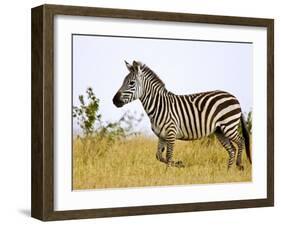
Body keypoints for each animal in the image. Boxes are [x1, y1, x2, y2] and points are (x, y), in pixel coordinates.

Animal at [112, 60, 250, 170]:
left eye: (131, 83)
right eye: (123, 82)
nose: (114, 100)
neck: (159, 106)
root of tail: (234, 97)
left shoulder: (171, 133)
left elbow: (168, 156)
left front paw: (167, 174)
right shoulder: (161, 136)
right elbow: (159, 156)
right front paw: (179, 164)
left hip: (229, 125)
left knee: (241, 141)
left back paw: (239, 165)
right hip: (220, 131)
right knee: (232, 150)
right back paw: (228, 171)